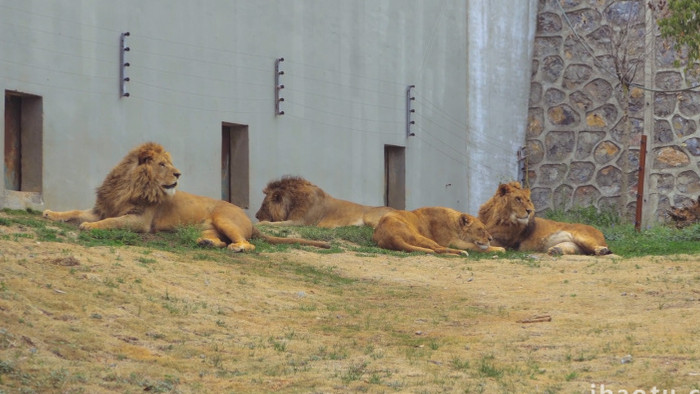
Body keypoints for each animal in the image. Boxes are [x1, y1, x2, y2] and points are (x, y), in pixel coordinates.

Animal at [41, 142, 330, 252]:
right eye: (162, 164)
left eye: (170, 164)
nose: (179, 173)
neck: (129, 185)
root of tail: (250, 219)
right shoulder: (102, 207)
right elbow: (74, 211)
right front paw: (50, 213)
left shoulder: (140, 220)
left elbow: (111, 222)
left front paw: (90, 227)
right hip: (210, 227)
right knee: (219, 240)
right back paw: (207, 242)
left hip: (225, 219)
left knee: (247, 244)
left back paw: (237, 247)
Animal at [254, 176, 394, 228]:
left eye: (264, 205)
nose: (256, 215)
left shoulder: (301, 222)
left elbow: (274, 223)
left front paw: (260, 223)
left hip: (370, 217)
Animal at [374, 208, 506, 258]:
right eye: (480, 229)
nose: (490, 239)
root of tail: (390, 236)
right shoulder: (452, 242)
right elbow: (475, 246)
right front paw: (500, 249)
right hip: (421, 237)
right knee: (438, 249)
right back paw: (461, 253)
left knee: (437, 250)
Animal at [478, 182, 608, 255]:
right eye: (518, 199)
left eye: (528, 200)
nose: (530, 211)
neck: (496, 218)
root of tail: (601, 233)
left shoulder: (505, 242)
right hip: (573, 244)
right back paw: (556, 250)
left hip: (581, 236)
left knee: (601, 248)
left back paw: (602, 251)